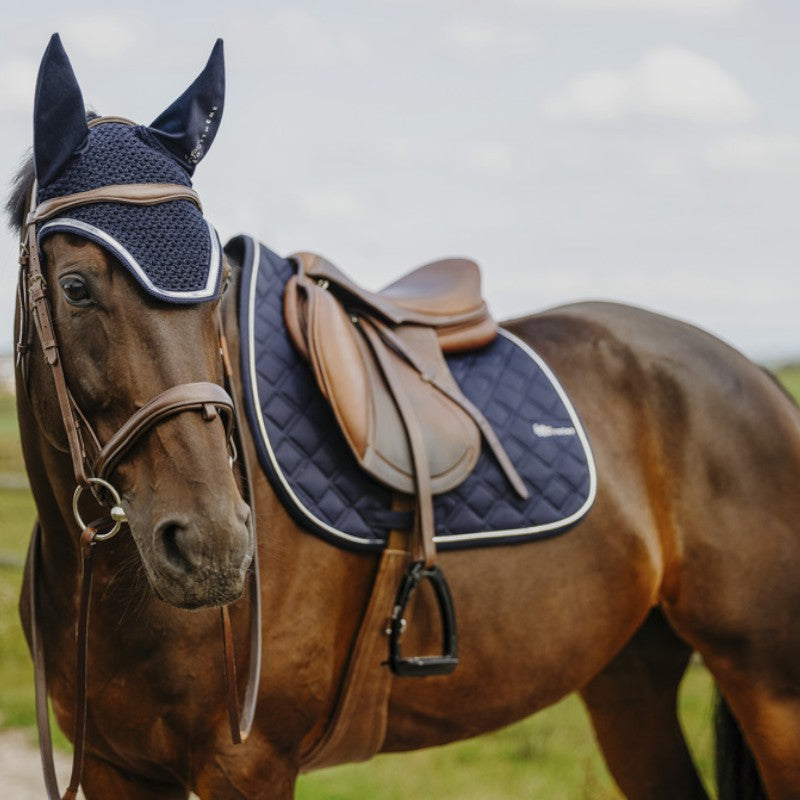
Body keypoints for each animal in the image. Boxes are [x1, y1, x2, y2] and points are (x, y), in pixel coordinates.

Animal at [10, 33, 800, 800]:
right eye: (76, 287)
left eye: (216, 285)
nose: (213, 547)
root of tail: (755, 374)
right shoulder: (116, 767)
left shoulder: (250, 765)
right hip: (628, 678)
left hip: (769, 684)